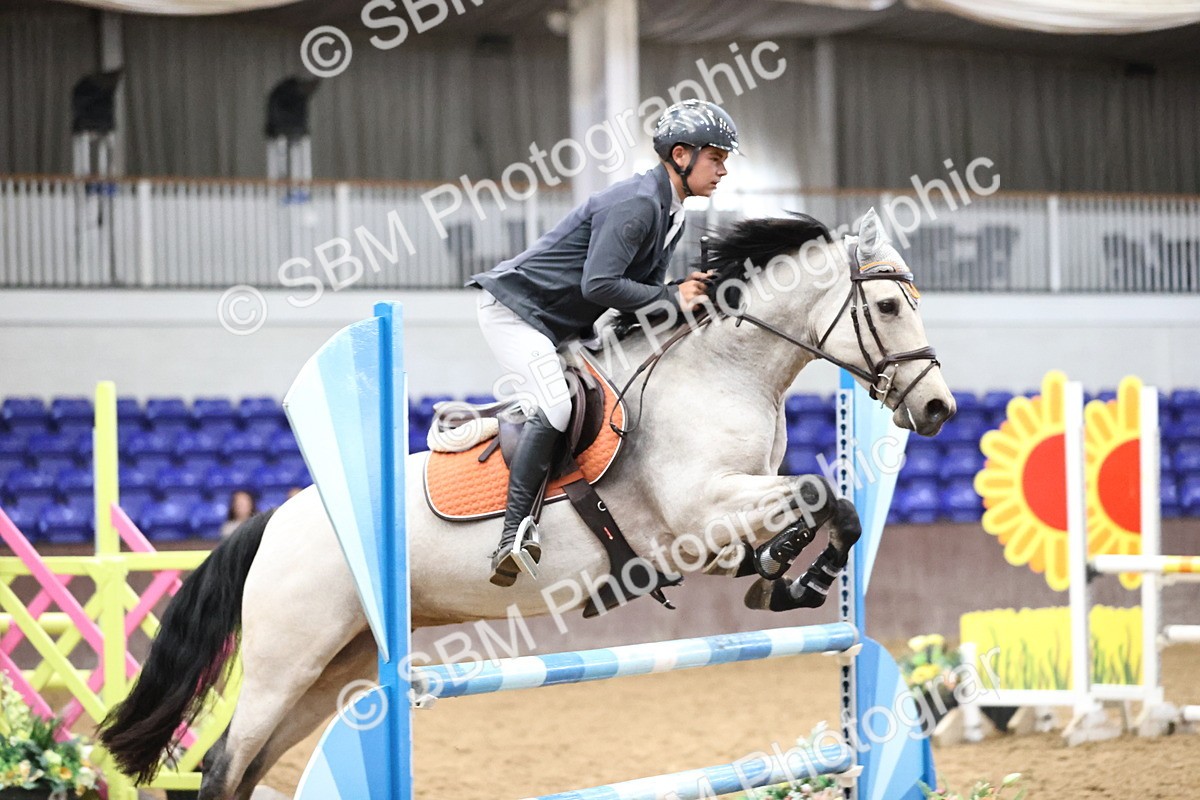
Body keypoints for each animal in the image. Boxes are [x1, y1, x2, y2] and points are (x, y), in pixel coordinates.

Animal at [99, 208, 956, 800]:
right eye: (889, 308)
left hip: (338, 667)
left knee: (248, 768)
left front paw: (786, 577)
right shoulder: (698, 515)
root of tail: (278, 519)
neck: (722, 373)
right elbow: (819, 495)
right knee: (223, 765)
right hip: (290, 656)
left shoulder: (721, 527)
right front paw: (795, 576)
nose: (940, 407)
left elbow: (826, 512)